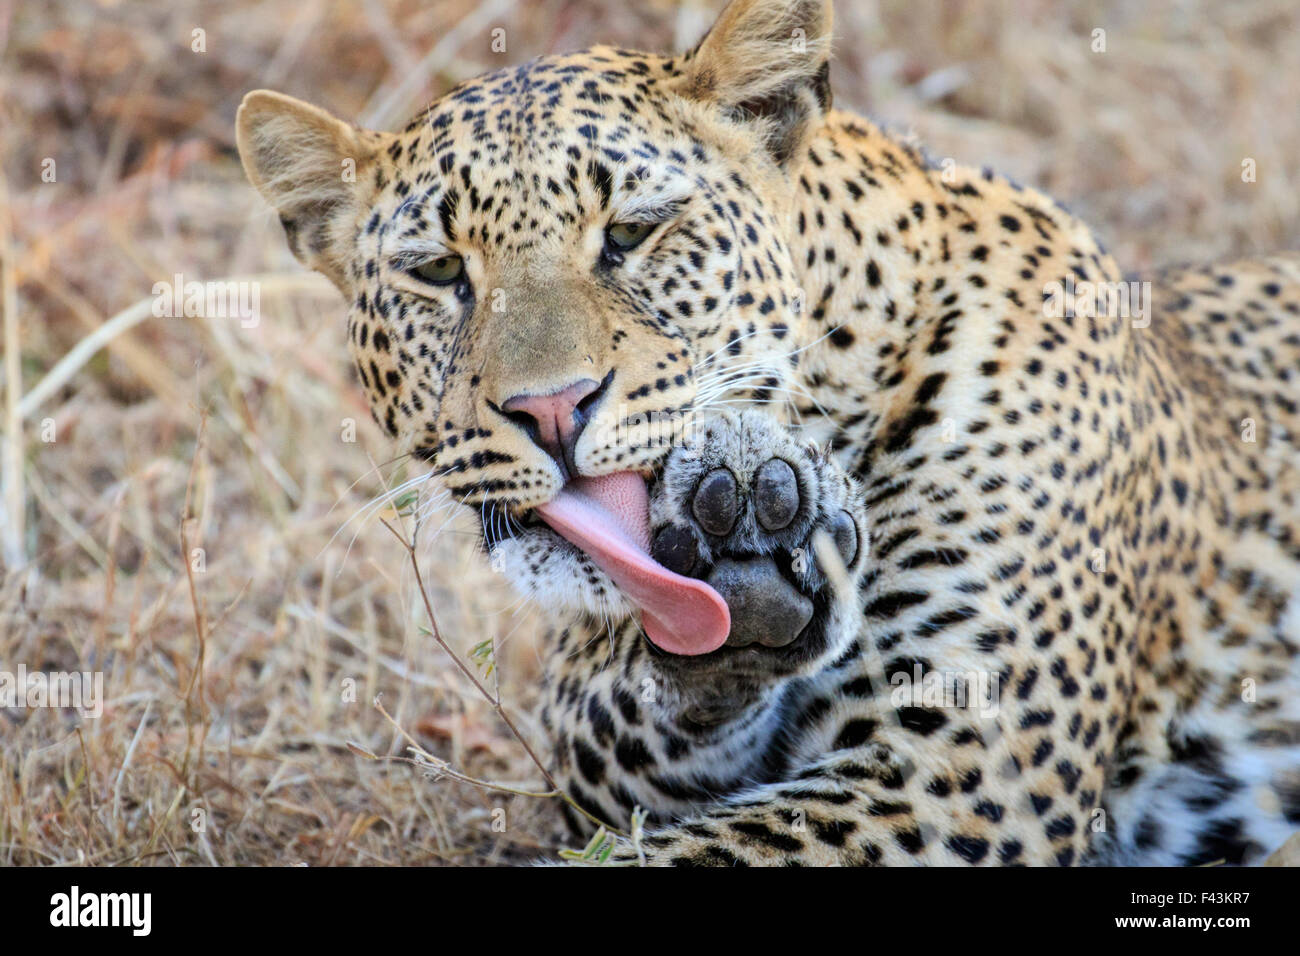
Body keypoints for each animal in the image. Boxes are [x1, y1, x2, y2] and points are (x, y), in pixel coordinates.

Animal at [236, 0, 1300, 868]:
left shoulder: (952, 773)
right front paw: (743, 564)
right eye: (437, 272)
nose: (551, 409)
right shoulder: (601, 738)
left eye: (634, 231)